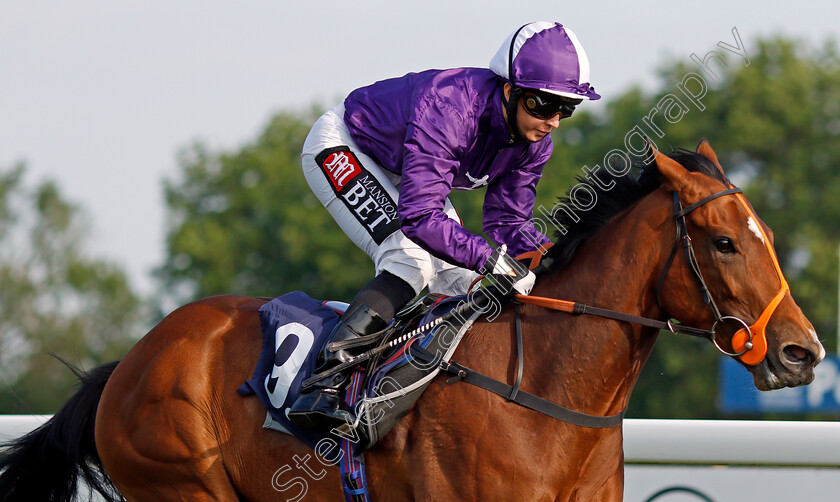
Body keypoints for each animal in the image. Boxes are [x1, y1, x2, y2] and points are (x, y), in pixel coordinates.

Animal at [0, 141, 828, 502]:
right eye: (724, 242)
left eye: (766, 236)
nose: (802, 351)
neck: (544, 394)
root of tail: (131, 363)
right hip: (183, 485)